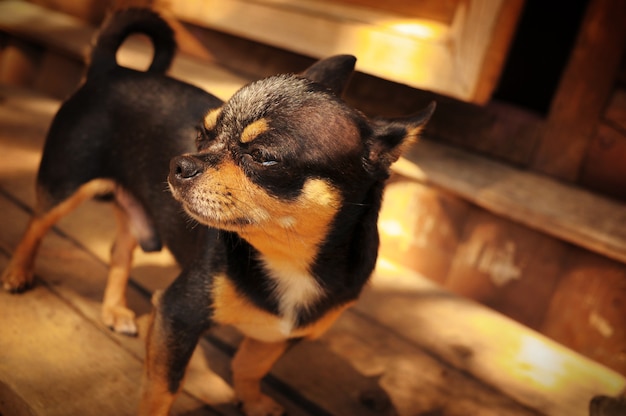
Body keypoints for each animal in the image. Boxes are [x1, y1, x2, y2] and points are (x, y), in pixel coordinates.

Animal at [1, 5, 434, 416]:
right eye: (201, 135)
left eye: (262, 156)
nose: (179, 164)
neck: (287, 254)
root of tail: (111, 70)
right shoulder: (177, 315)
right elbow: (161, 390)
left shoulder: (287, 333)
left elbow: (250, 364)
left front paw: (252, 401)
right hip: (65, 183)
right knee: (37, 224)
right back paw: (18, 273)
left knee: (119, 248)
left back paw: (113, 309)